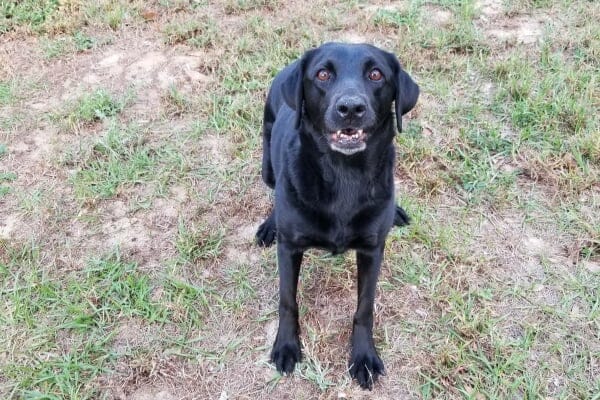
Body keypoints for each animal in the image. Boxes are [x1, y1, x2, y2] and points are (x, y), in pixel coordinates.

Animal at [255, 42, 420, 390]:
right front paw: (286, 346)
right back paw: (269, 225)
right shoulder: (290, 248)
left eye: (376, 74)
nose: (351, 108)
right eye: (322, 74)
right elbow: (287, 300)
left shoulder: (372, 250)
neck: (345, 173)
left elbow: (365, 308)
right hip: (267, 165)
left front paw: (364, 357)